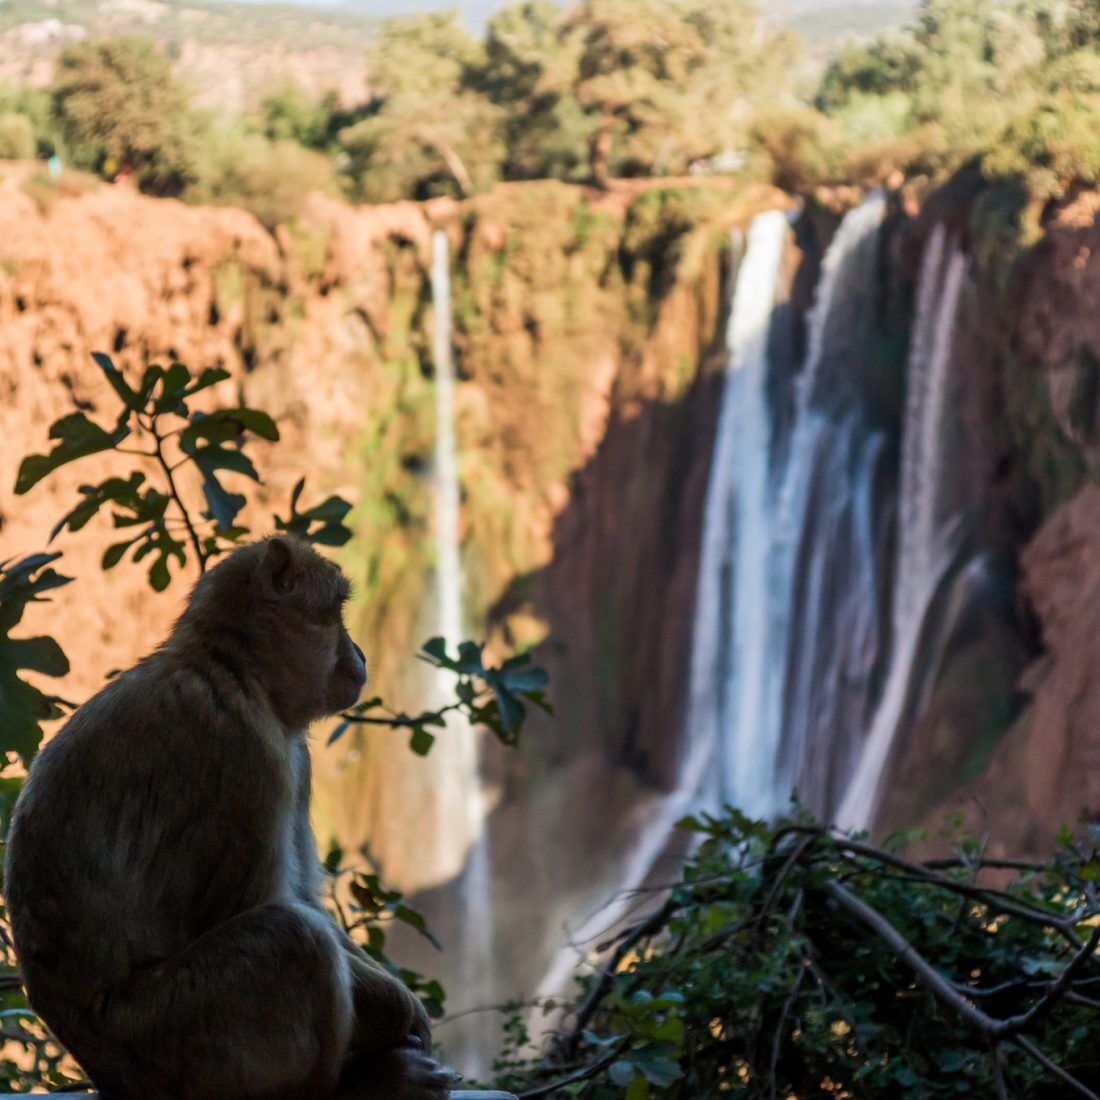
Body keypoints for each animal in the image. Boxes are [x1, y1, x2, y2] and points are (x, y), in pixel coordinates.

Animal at [5, 534, 459, 1100]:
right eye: (334, 613)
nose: (359, 655)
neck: (232, 668)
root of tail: (104, 1073)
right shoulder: (245, 749)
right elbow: (258, 904)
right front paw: (399, 1010)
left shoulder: (293, 757)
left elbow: (303, 897)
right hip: (175, 1039)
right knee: (294, 939)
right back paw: (357, 1084)